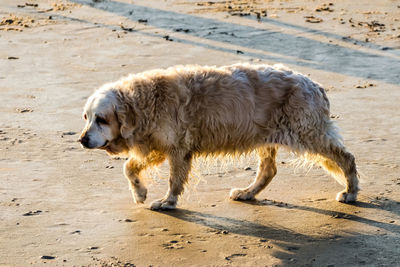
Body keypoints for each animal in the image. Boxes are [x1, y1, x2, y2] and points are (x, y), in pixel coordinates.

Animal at [78, 63, 360, 210]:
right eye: (86, 117)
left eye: (101, 119)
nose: (81, 140)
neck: (144, 102)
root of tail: (315, 85)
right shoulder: (157, 146)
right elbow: (129, 167)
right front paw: (139, 192)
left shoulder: (178, 148)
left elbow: (173, 180)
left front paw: (167, 201)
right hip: (267, 138)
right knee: (268, 171)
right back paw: (247, 193)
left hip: (308, 134)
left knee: (347, 158)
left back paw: (351, 192)